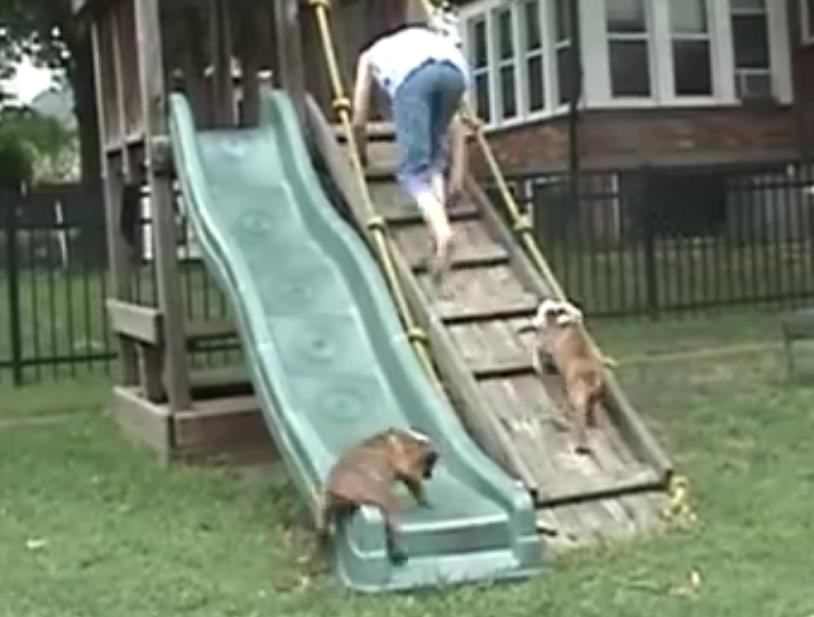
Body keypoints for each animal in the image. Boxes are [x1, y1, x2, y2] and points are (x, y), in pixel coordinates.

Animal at [316, 428, 440, 564]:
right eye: (430, 462)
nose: (429, 475)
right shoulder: (407, 463)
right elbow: (412, 479)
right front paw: (424, 499)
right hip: (380, 495)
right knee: (393, 518)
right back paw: (399, 548)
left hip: (326, 502)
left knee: (322, 523)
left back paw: (322, 539)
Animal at [524, 298, 612, 452]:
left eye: (547, 312)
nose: (535, 321)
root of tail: (592, 379)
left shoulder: (547, 344)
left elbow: (537, 347)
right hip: (592, 399)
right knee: (590, 413)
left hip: (577, 395)